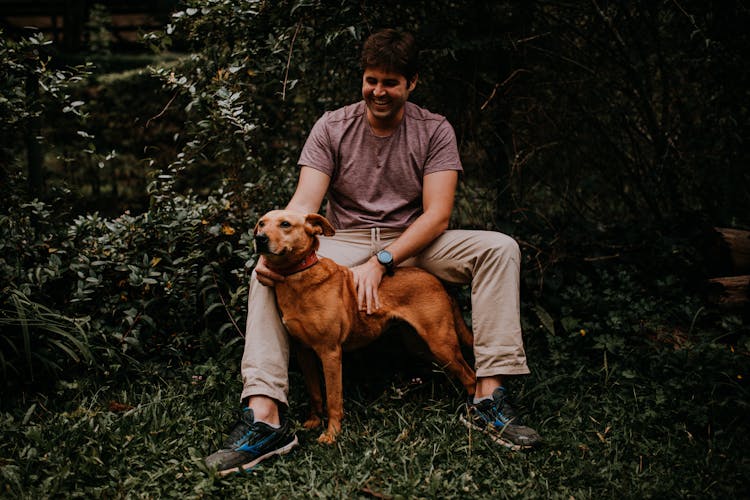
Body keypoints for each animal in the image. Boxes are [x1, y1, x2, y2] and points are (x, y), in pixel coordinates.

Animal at [253, 209, 476, 444]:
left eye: (285, 224)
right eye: (261, 224)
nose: (259, 238)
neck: (296, 279)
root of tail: (437, 281)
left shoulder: (330, 353)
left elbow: (333, 399)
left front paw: (332, 433)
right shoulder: (304, 352)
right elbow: (315, 393)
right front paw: (314, 421)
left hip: (441, 344)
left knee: (470, 376)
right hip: (421, 346)